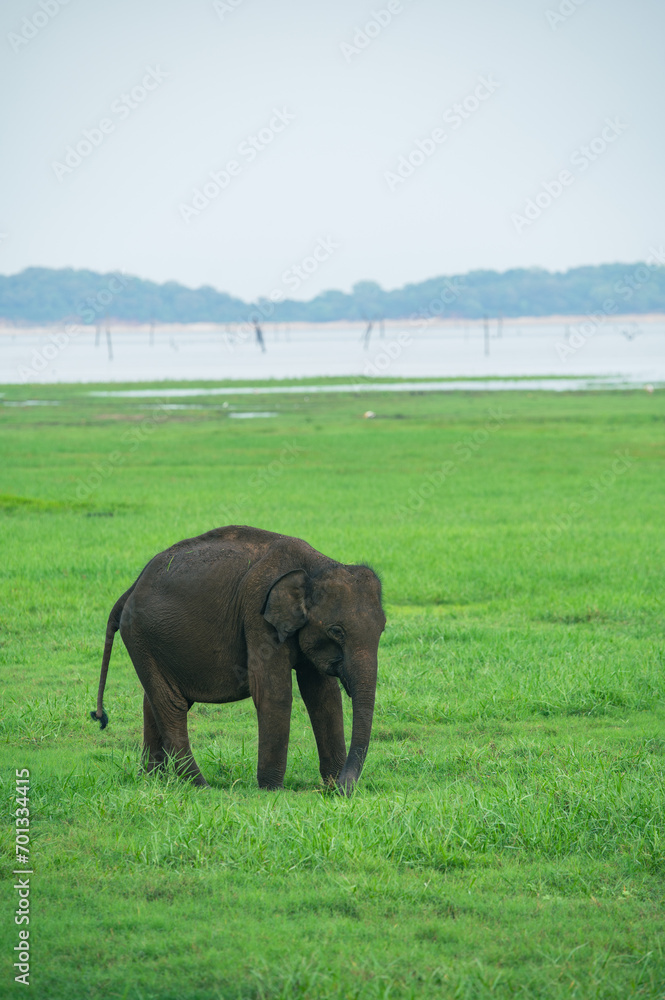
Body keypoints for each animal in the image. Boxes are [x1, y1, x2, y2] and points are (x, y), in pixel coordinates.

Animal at [91, 525, 385, 792]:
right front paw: (273, 790)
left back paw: (154, 781)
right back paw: (200, 786)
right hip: (140, 637)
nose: (345, 788)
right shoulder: (257, 614)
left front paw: (332, 785)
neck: (317, 566)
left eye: (383, 629)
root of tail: (130, 589)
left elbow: (323, 696)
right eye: (337, 631)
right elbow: (273, 692)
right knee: (171, 706)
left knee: (153, 703)